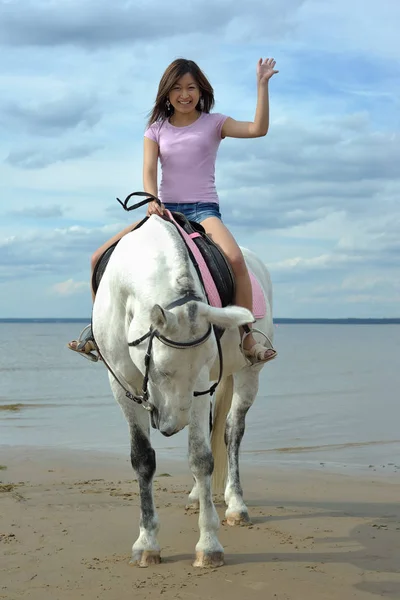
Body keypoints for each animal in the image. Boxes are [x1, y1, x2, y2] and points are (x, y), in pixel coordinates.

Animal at [93, 214, 276, 568]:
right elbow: (142, 458)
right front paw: (147, 543)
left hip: (248, 372)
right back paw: (195, 496)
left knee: (232, 432)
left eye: (194, 372)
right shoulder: (122, 384)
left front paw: (209, 545)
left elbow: (201, 457)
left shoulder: (202, 384)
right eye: (159, 369)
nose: (168, 426)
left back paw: (235, 504)